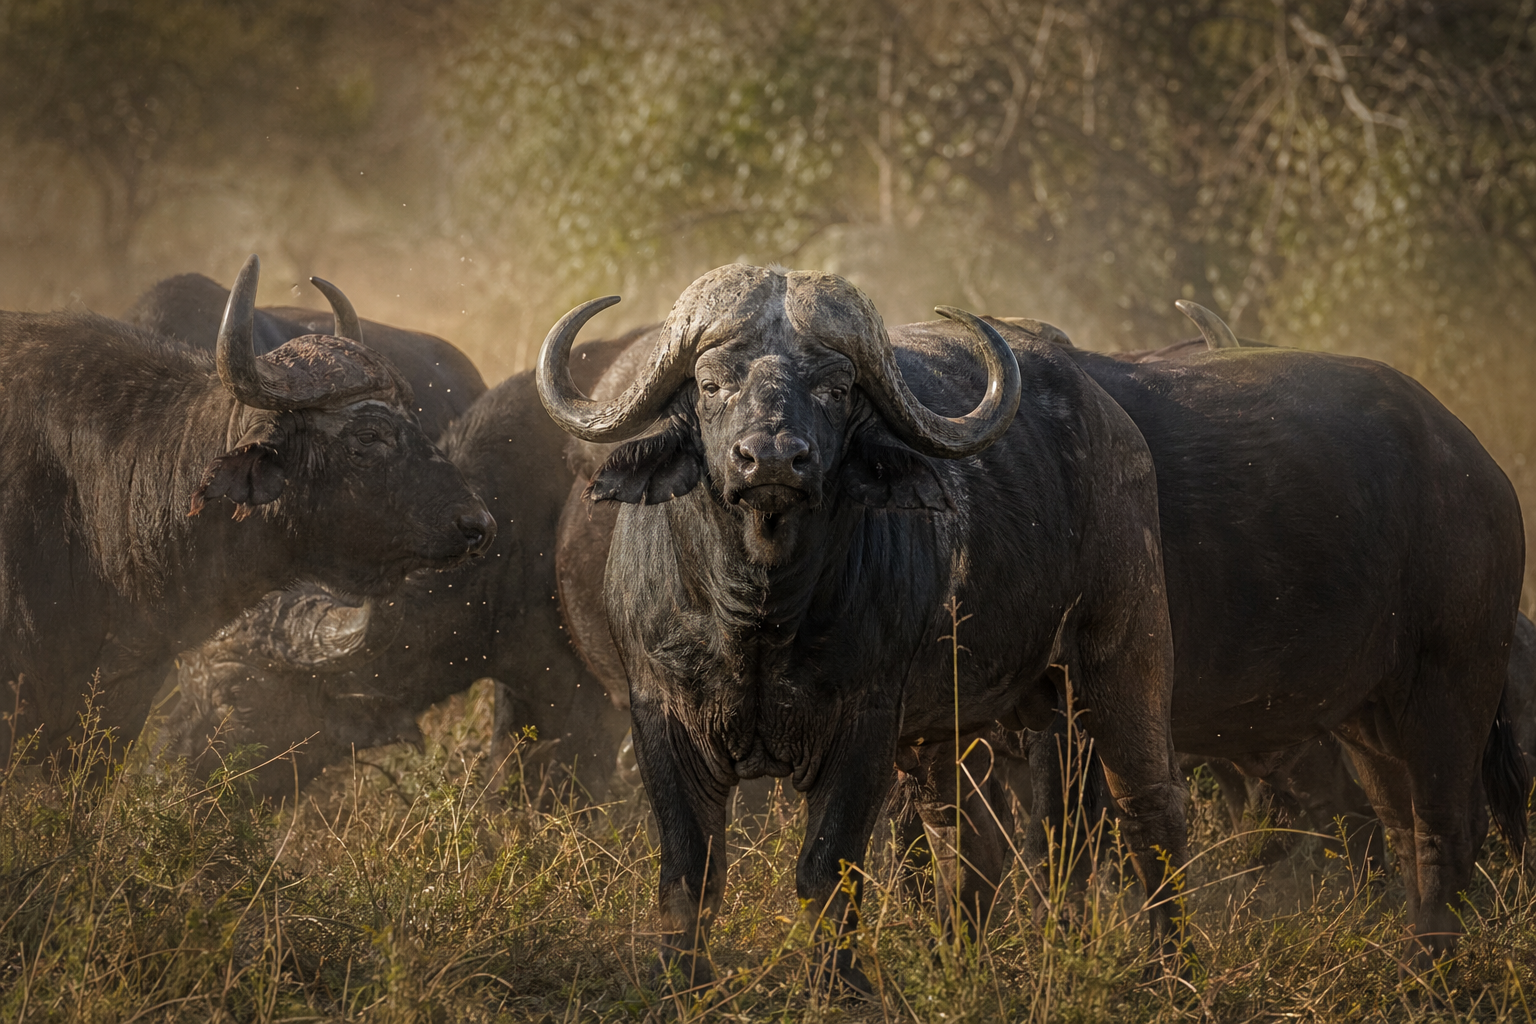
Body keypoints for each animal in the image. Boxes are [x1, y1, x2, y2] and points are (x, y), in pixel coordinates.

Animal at [539, 265, 1187, 993]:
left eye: (836, 387)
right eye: (711, 384)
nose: (771, 459)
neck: (761, 612)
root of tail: (1113, 423)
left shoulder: (865, 723)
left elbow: (828, 866)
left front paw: (838, 982)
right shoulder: (660, 714)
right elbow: (689, 868)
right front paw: (682, 977)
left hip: (1120, 656)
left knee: (1149, 811)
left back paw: (1173, 974)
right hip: (952, 726)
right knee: (969, 837)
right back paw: (955, 963)